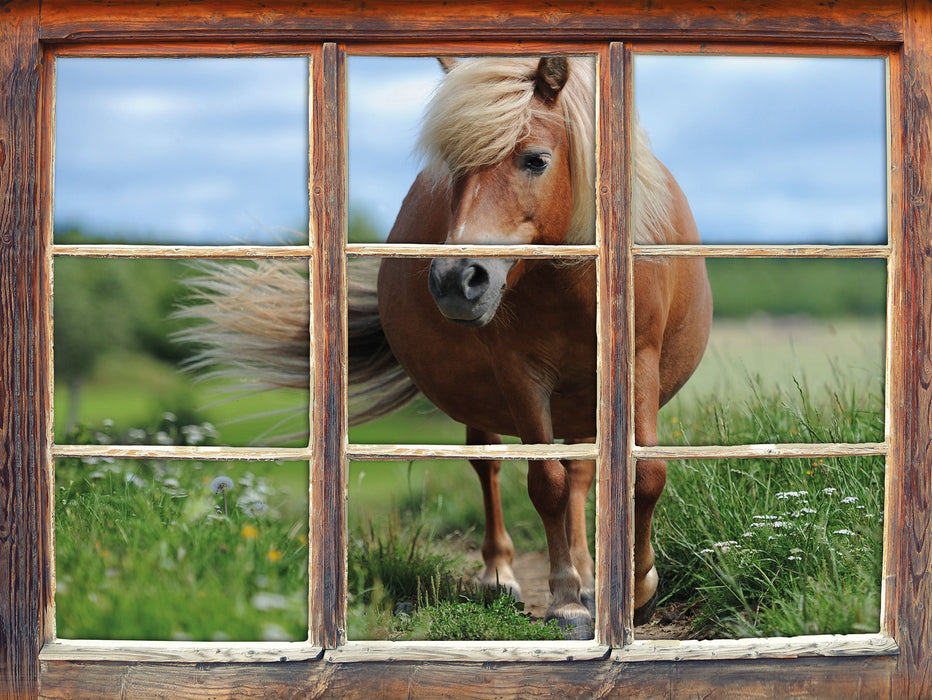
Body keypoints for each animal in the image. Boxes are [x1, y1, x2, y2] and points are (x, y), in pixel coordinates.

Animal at [178, 57, 708, 644]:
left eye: (536, 160)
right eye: (452, 169)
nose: (457, 280)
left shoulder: (640, 363)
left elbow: (645, 475)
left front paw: (637, 590)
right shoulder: (522, 376)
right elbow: (544, 483)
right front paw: (568, 601)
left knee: (581, 472)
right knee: (492, 465)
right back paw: (503, 576)